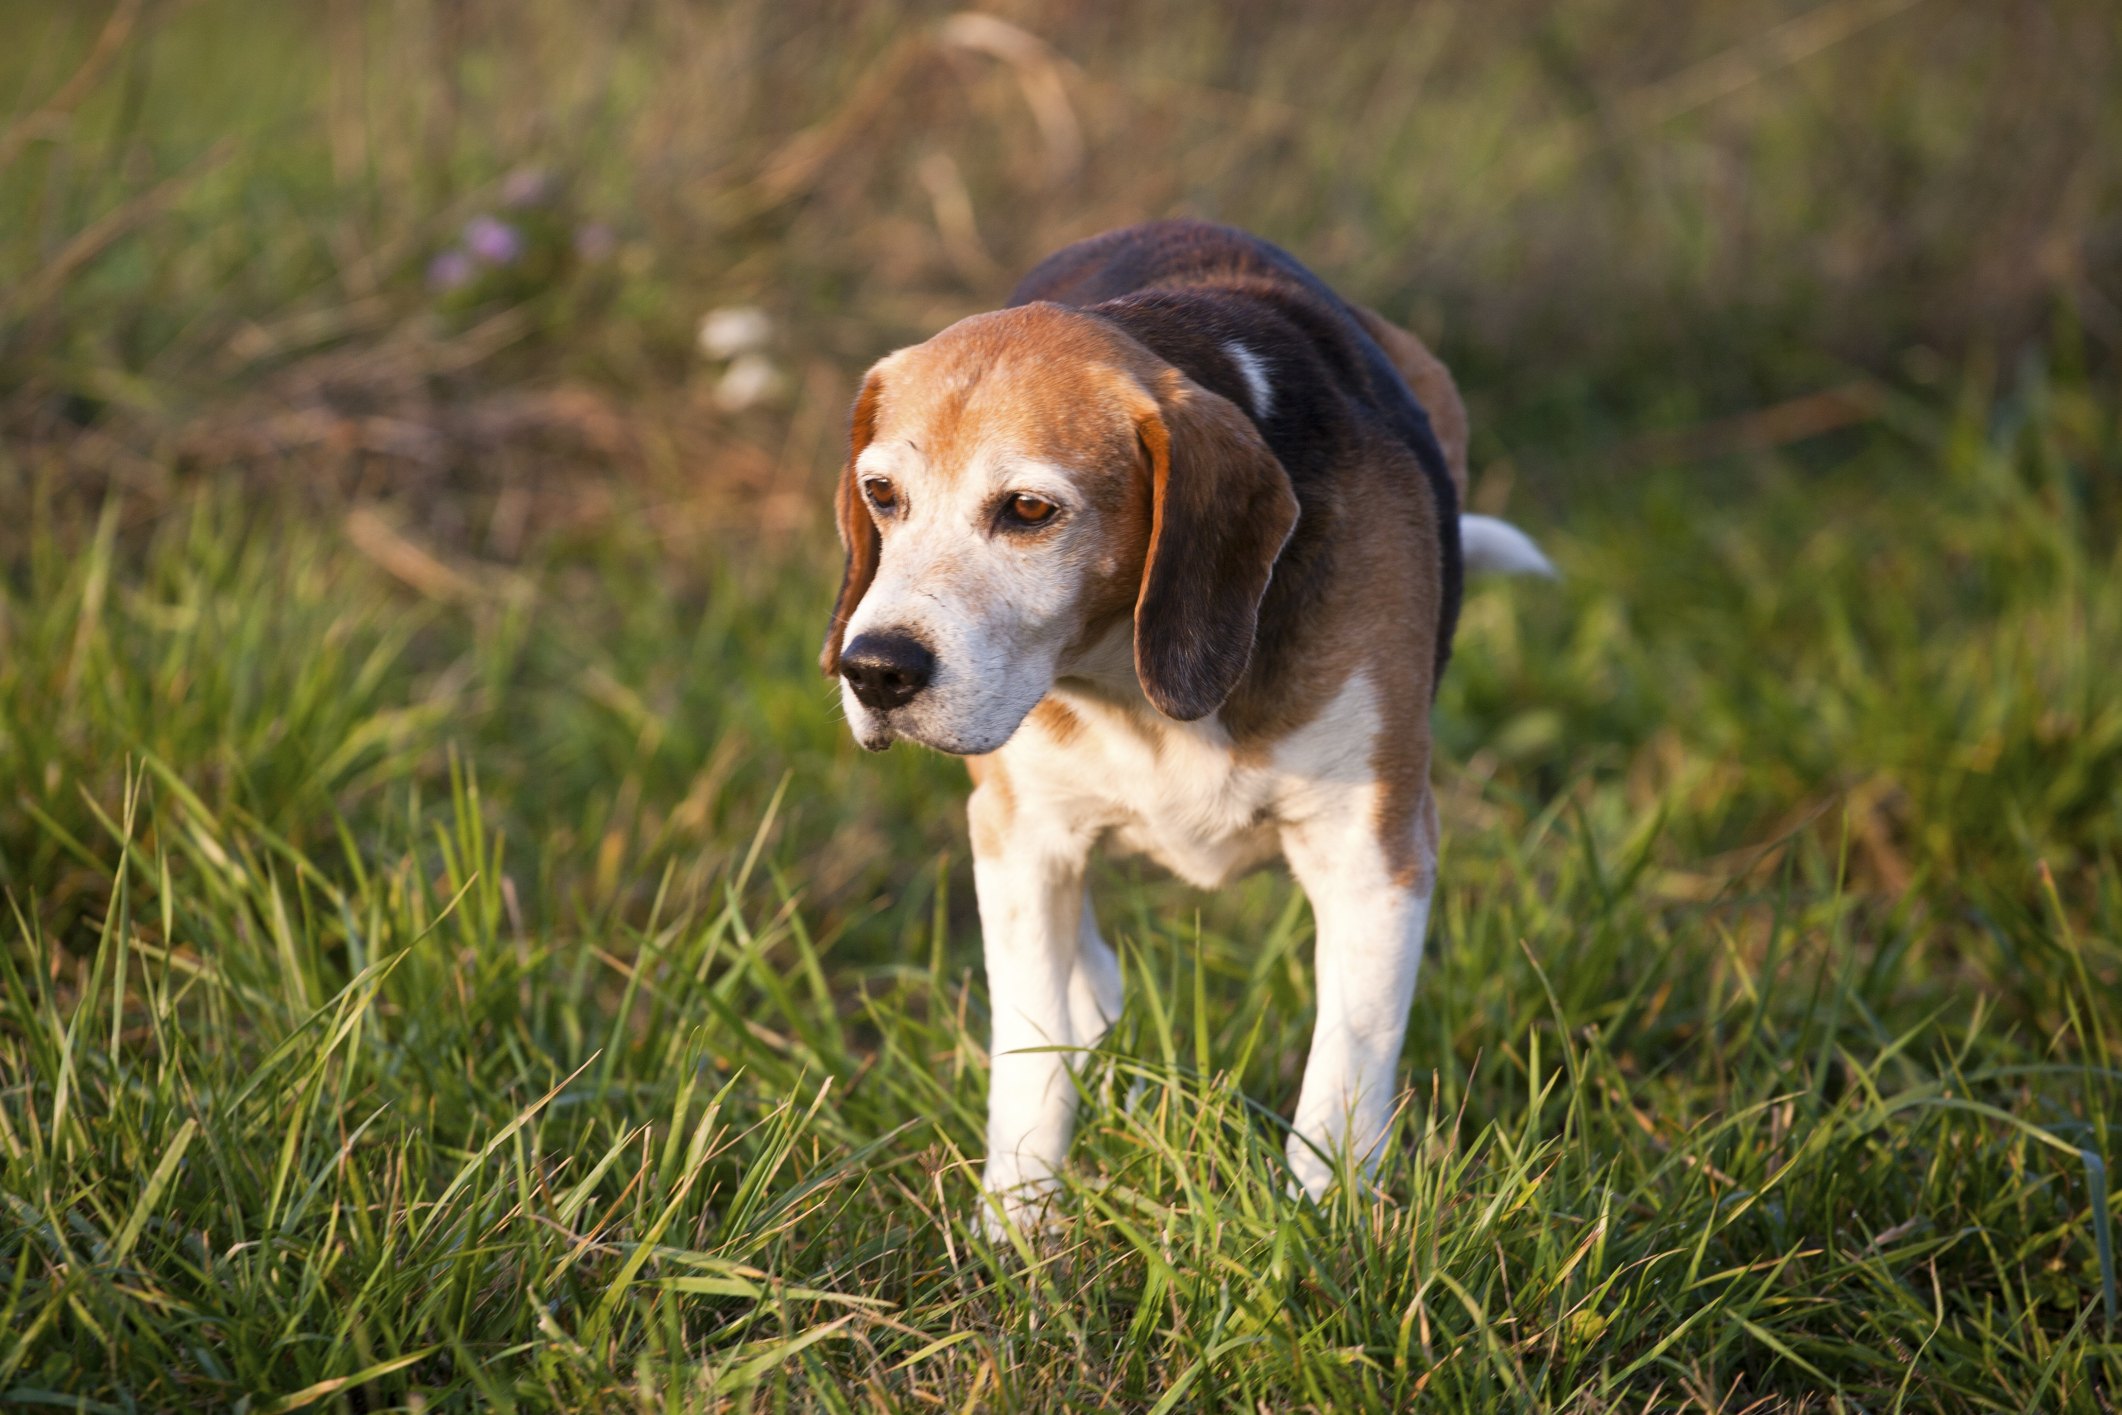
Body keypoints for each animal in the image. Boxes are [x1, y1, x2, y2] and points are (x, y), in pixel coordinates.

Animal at [819, 221, 1553, 1238]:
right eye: (882, 493)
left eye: (1029, 510)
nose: (875, 668)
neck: (1129, 685)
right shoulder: (1022, 834)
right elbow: (1030, 1048)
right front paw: (1019, 1227)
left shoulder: (1373, 851)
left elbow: (1346, 1067)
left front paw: (1325, 1230)